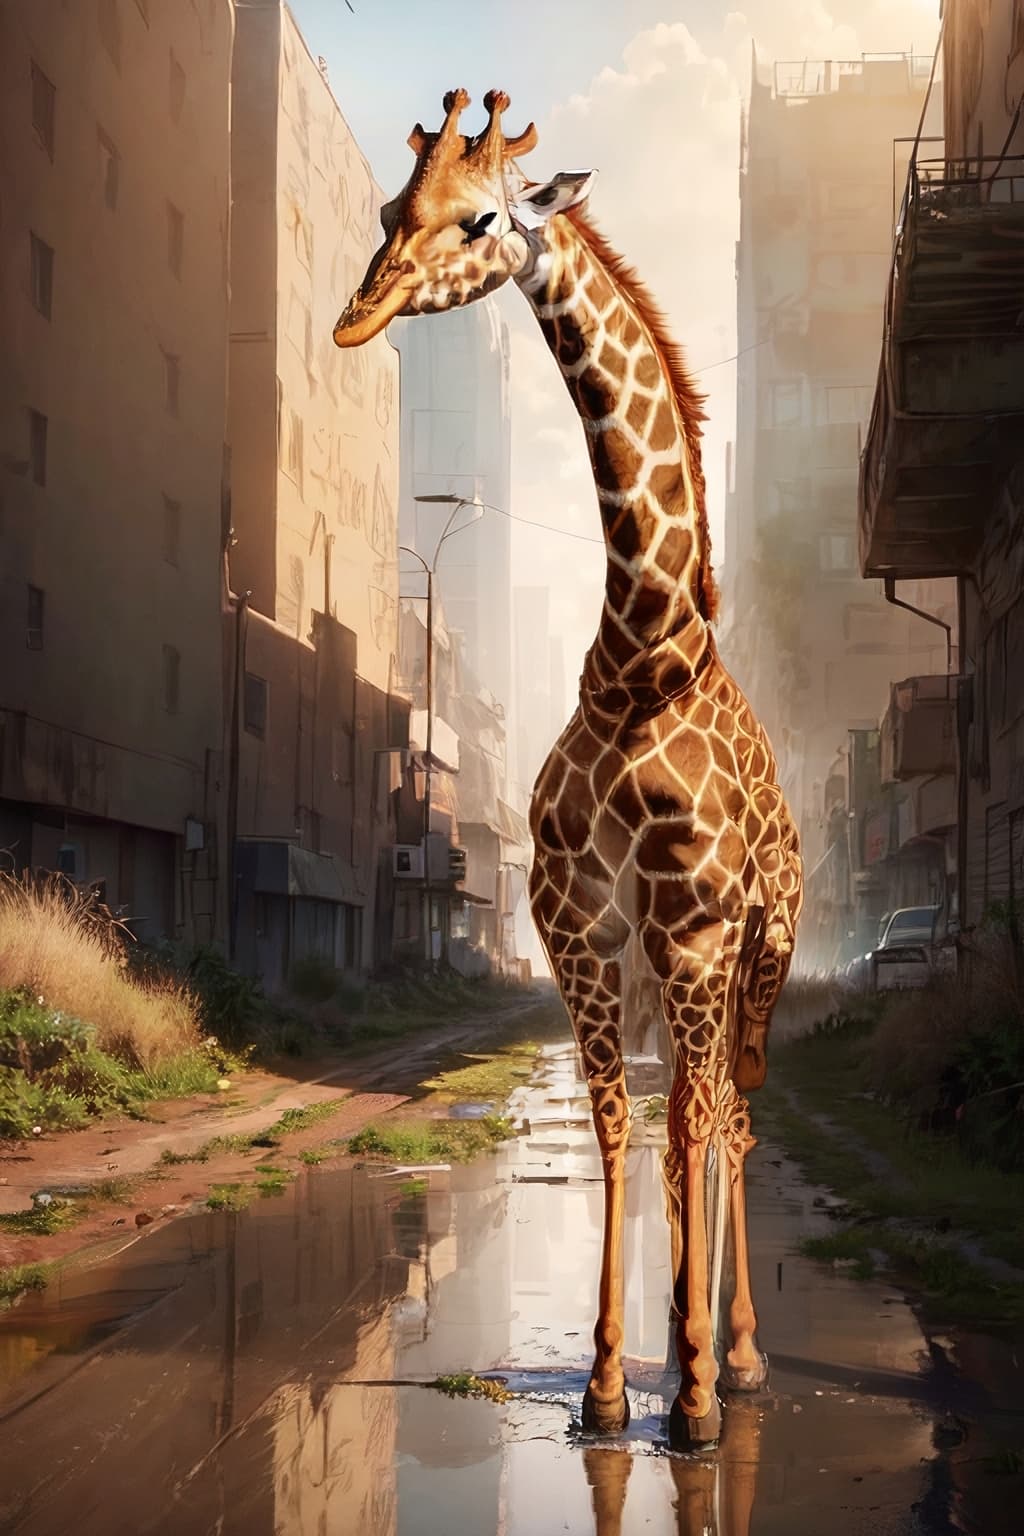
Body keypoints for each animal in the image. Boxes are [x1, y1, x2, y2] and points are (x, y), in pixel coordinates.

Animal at [334, 89, 803, 1450]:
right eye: (392, 207)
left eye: (483, 218)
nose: (356, 315)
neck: (642, 649)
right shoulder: (581, 919)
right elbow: (611, 1119)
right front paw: (606, 1385)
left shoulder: (693, 921)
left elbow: (695, 1118)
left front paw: (692, 1394)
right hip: (661, 959)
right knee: (686, 1113)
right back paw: (692, 1344)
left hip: (760, 946)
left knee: (732, 1108)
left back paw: (735, 1357)